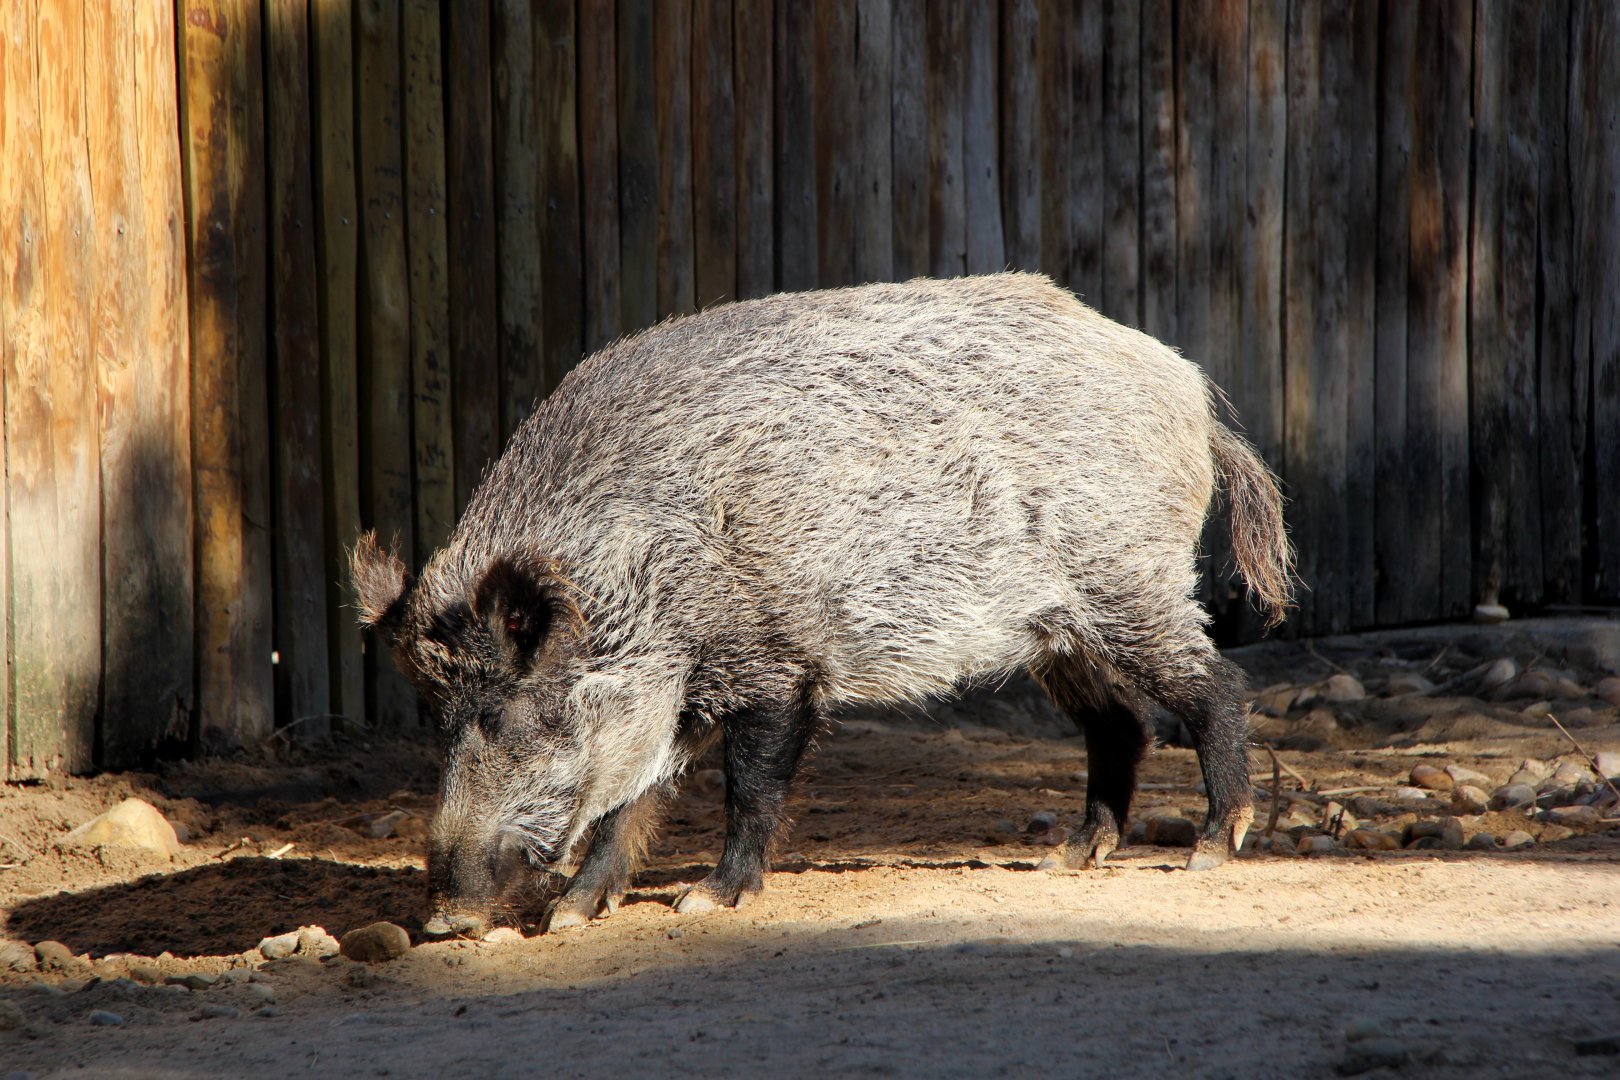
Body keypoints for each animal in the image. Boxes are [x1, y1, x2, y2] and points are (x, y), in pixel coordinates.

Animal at [350, 273, 1294, 936]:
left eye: (511, 715)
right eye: (439, 722)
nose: (446, 920)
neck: (645, 567)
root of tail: (1190, 390)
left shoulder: (776, 663)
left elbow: (749, 786)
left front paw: (705, 901)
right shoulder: (675, 696)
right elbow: (628, 803)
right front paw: (569, 917)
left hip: (1130, 581)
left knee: (1214, 687)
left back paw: (1211, 851)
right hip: (1056, 632)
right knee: (1120, 721)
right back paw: (1066, 859)